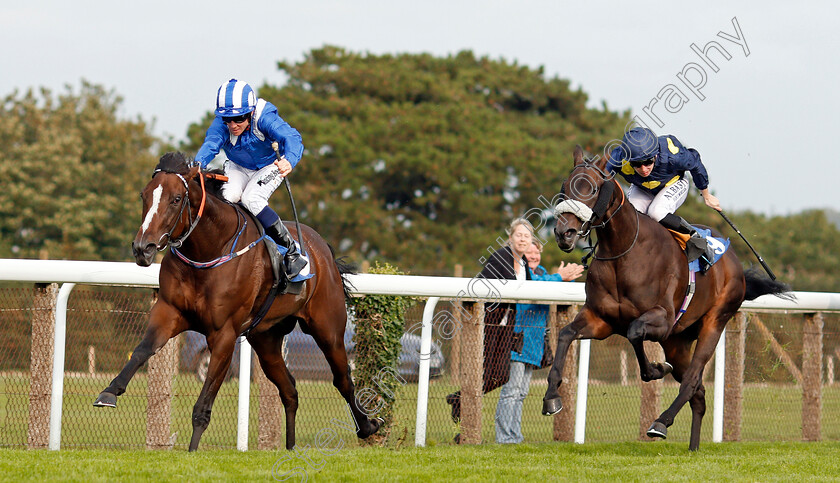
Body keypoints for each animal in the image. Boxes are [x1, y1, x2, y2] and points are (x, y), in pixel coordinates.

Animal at [92, 153, 380, 452]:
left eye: (175, 199)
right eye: (144, 195)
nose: (142, 248)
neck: (209, 249)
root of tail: (322, 248)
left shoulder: (224, 334)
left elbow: (204, 403)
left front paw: (192, 451)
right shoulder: (168, 312)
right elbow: (142, 350)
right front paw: (108, 393)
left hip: (328, 328)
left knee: (343, 379)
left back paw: (367, 426)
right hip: (266, 340)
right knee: (289, 389)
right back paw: (290, 447)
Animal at [540, 146, 792, 452]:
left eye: (594, 188)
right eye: (565, 188)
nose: (563, 233)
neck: (625, 251)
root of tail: (733, 261)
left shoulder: (661, 319)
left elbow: (635, 332)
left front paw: (656, 369)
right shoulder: (600, 320)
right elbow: (565, 334)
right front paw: (551, 398)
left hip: (715, 321)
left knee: (693, 380)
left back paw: (661, 422)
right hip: (677, 341)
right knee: (699, 393)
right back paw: (693, 447)